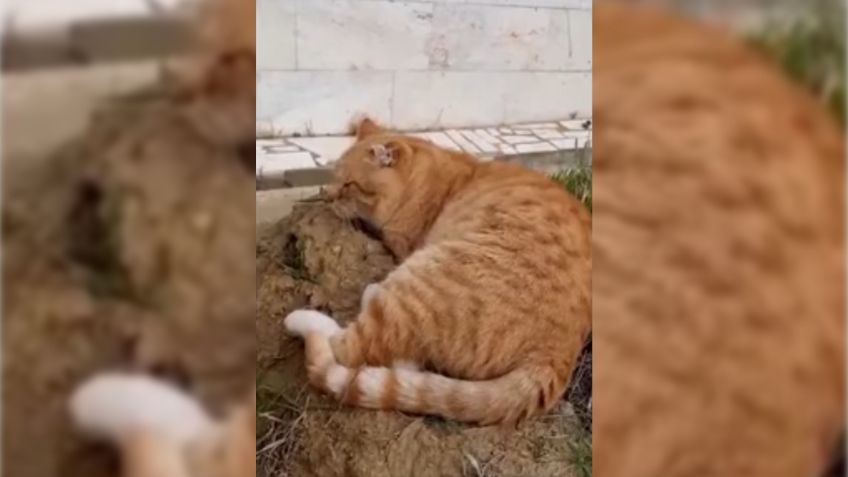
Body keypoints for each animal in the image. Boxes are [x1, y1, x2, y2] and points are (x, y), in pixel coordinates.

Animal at [284, 117, 588, 422]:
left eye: (349, 185)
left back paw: (313, 315)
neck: (429, 175)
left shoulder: (400, 244)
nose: (328, 197)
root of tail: (556, 354)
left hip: (419, 283)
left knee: (348, 347)